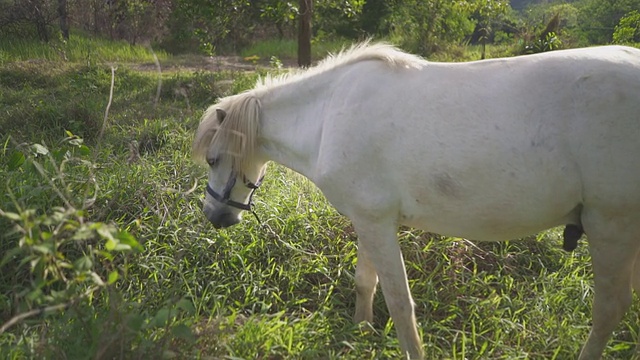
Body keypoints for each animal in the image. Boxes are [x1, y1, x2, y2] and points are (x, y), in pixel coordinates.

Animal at [192, 43, 640, 360]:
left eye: (213, 159)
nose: (214, 215)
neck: (327, 115)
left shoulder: (377, 223)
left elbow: (399, 303)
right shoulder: (369, 220)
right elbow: (365, 282)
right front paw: (361, 334)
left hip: (611, 227)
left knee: (608, 310)